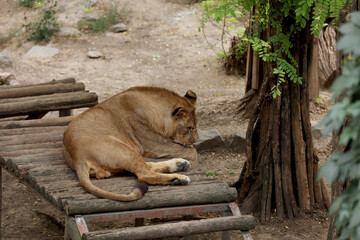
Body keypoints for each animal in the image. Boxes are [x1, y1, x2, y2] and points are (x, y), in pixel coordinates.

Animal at [61, 86, 197, 201]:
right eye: (189, 128)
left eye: (195, 127)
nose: (195, 140)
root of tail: (77, 156)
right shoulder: (156, 146)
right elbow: (193, 152)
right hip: (123, 149)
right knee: (145, 175)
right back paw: (179, 178)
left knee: (147, 166)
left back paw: (180, 164)